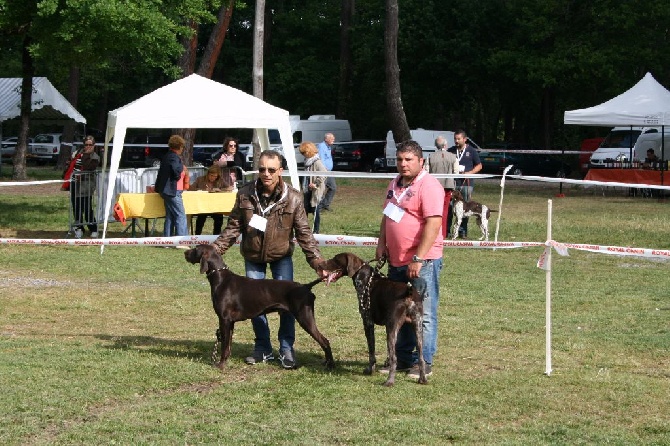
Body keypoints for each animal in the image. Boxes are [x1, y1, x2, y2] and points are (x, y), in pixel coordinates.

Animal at [185, 244, 334, 370]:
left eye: (195, 249)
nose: (185, 252)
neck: (221, 279)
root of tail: (305, 286)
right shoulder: (230, 322)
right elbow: (228, 346)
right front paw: (225, 362)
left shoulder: (224, 320)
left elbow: (224, 346)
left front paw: (220, 365)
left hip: (305, 318)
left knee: (325, 341)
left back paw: (330, 365)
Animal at [324, 253, 428, 386]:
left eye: (336, 259)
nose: (322, 264)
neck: (364, 277)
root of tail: (408, 294)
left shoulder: (368, 322)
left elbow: (371, 352)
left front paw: (370, 370)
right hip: (418, 326)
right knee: (421, 357)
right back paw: (422, 379)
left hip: (391, 328)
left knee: (394, 358)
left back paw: (389, 381)